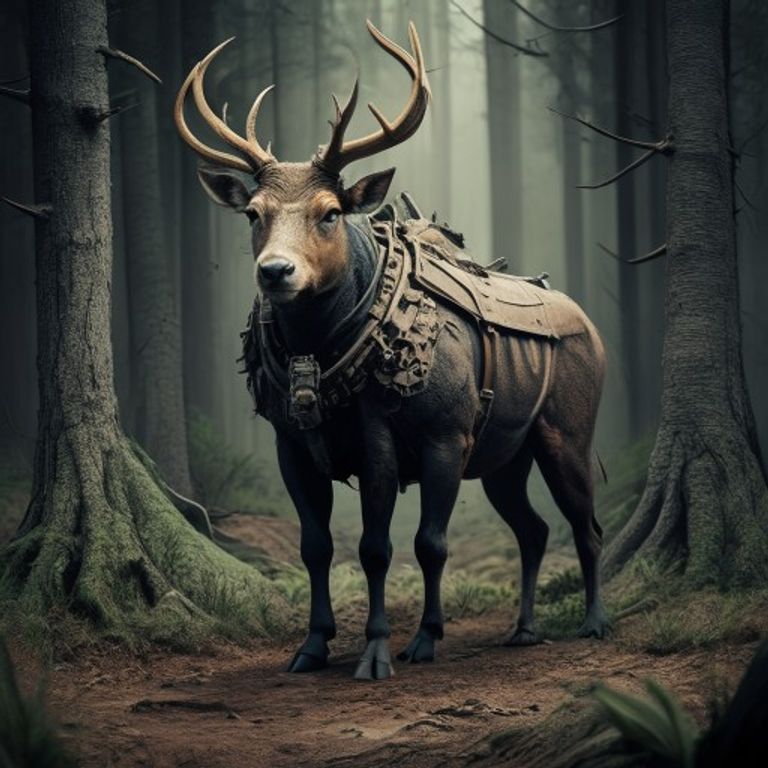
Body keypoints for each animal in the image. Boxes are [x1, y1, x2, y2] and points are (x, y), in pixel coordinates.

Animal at [174, 20, 607, 680]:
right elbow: (316, 545)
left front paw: (395, 645)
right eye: (252, 212)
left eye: (330, 212)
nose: (275, 272)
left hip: (566, 431)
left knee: (586, 523)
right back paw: (524, 628)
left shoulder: (432, 435)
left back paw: (593, 622)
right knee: (533, 529)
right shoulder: (290, 443)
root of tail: (595, 329)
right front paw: (312, 645)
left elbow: (400, 546)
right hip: (506, 455)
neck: (317, 355)